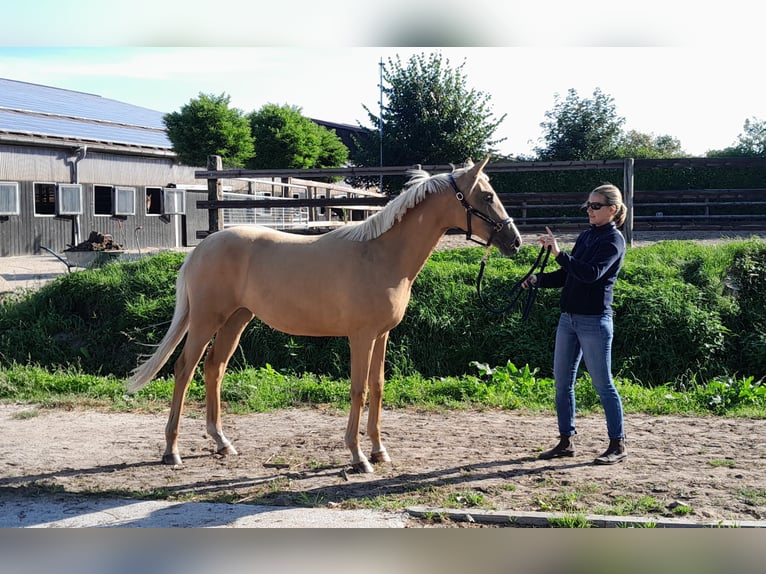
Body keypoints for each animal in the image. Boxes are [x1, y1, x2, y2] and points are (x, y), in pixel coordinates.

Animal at [127, 156, 520, 472]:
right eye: (487, 196)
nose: (514, 241)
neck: (380, 255)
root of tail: (201, 247)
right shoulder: (361, 336)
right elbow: (358, 389)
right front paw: (359, 457)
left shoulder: (382, 335)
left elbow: (378, 387)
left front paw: (379, 451)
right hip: (206, 319)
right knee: (184, 369)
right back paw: (172, 451)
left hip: (237, 319)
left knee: (214, 368)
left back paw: (222, 443)